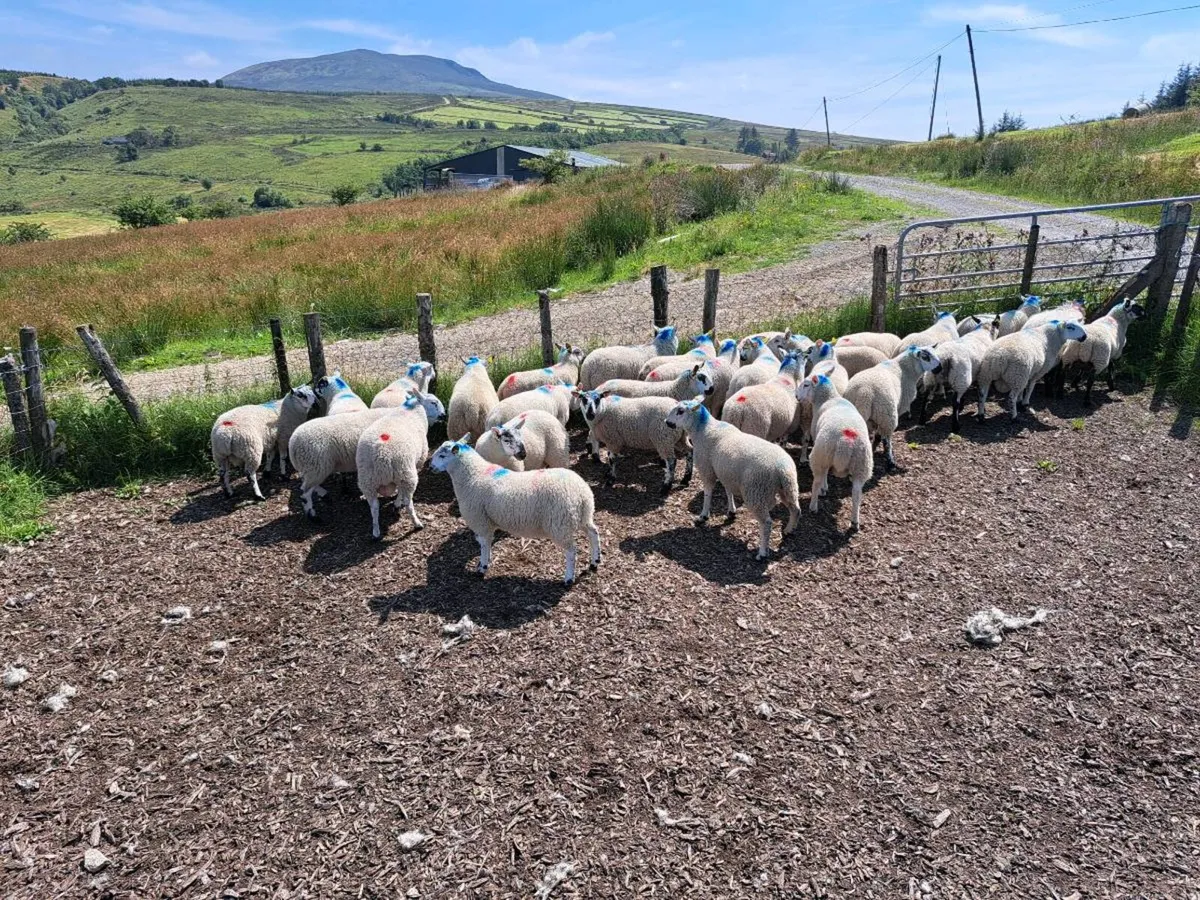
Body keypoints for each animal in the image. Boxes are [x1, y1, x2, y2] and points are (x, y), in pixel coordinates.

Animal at [356, 391, 447, 540]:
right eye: (434, 402)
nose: (444, 415)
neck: (414, 412)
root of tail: (381, 456)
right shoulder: (417, 462)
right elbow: (401, 493)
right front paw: (398, 502)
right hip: (406, 473)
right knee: (409, 503)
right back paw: (416, 523)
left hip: (367, 481)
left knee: (374, 507)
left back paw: (376, 531)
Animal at [429, 436, 601, 585]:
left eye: (442, 455)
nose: (431, 467)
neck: (473, 475)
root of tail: (582, 493)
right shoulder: (487, 522)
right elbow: (486, 543)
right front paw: (485, 562)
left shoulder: (480, 521)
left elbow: (484, 544)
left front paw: (482, 567)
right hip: (582, 517)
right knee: (593, 532)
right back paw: (595, 561)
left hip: (560, 524)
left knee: (572, 551)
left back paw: (569, 578)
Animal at [664, 397, 801, 560]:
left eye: (680, 411)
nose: (666, 422)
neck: (703, 430)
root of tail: (783, 469)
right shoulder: (726, 472)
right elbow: (728, 491)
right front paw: (731, 511)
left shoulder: (707, 470)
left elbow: (708, 493)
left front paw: (703, 516)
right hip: (788, 488)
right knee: (795, 509)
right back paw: (789, 530)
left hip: (756, 491)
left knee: (766, 523)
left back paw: (762, 552)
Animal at [796, 372, 873, 531]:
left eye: (806, 385)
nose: (796, 396)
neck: (829, 397)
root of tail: (846, 439)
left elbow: (825, 475)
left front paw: (824, 488)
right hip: (862, 465)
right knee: (856, 493)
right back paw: (855, 521)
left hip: (821, 455)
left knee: (817, 480)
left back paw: (813, 505)